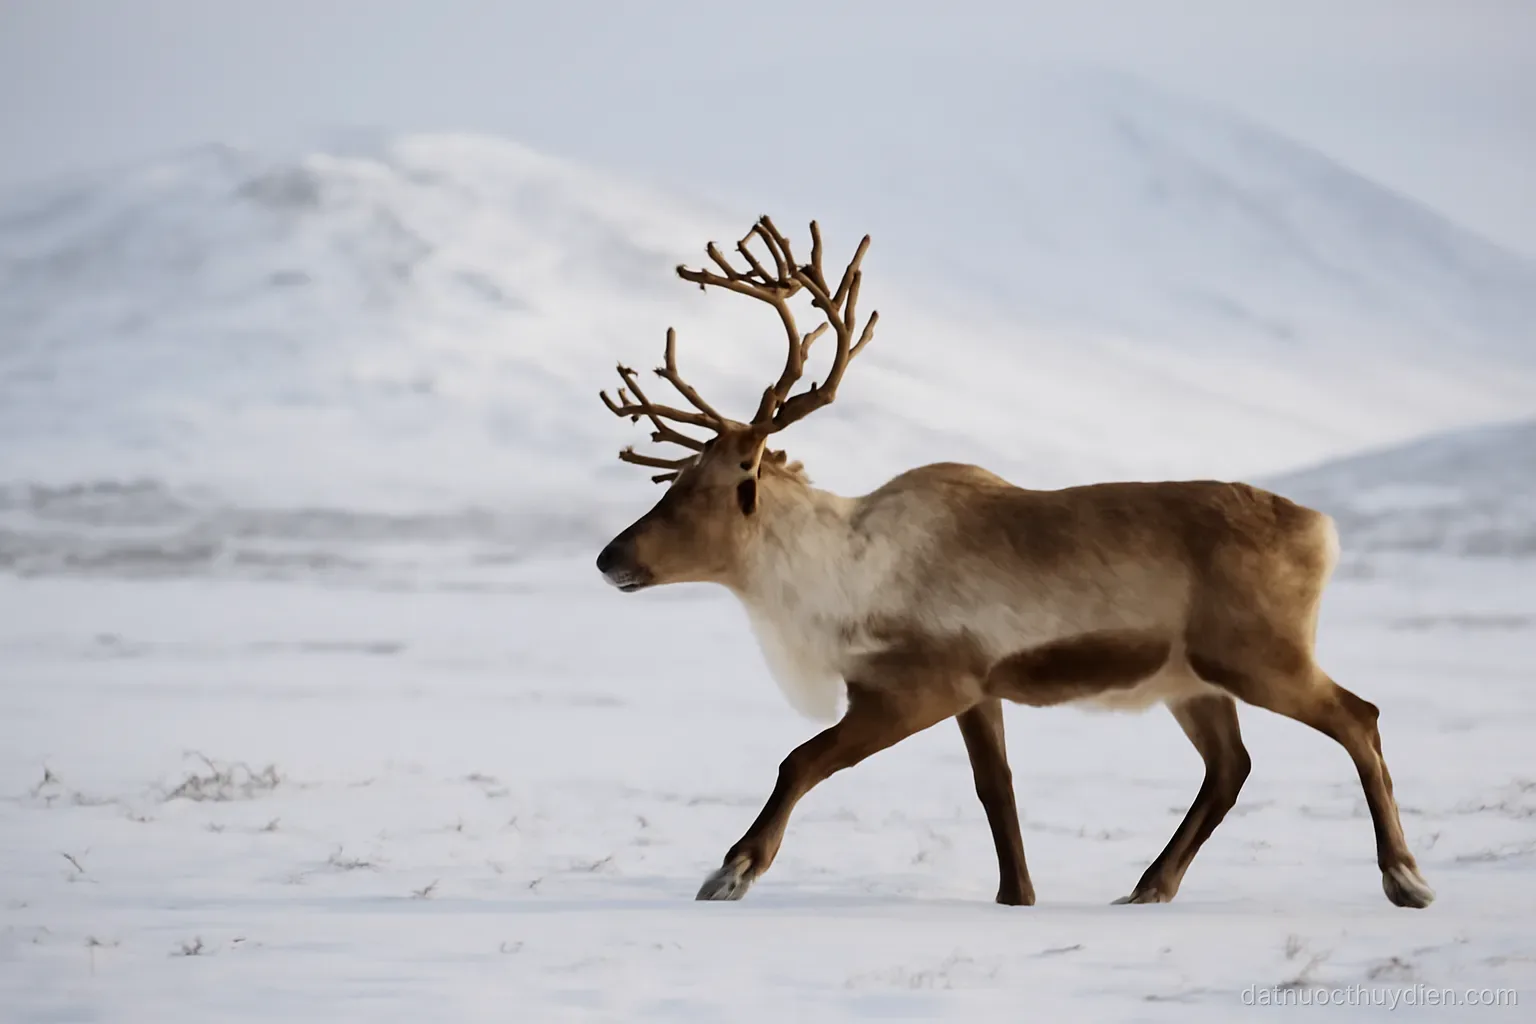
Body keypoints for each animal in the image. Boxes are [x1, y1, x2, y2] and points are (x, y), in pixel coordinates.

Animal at [594, 215, 1435, 911]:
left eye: (695, 491)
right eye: (669, 480)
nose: (608, 558)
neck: (828, 577)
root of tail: (1323, 529)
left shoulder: (919, 685)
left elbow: (801, 760)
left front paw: (732, 870)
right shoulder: (979, 690)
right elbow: (995, 790)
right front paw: (1017, 896)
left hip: (1257, 654)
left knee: (1357, 717)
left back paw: (1405, 878)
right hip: (1190, 680)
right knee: (1231, 768)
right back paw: (1149, 886)